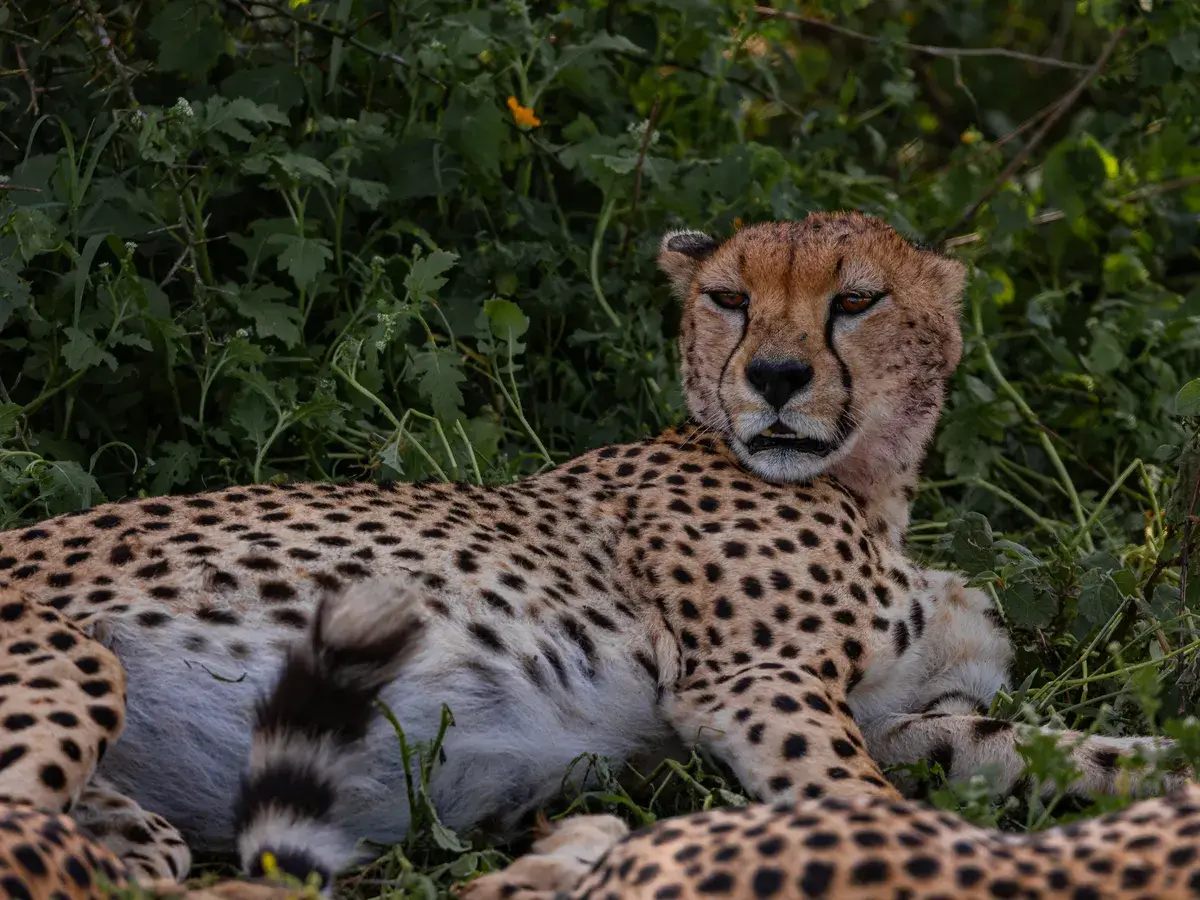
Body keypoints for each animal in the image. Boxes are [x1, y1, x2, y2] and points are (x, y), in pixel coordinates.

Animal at [0, 212, 1186, 897]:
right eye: (729, 300)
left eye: (856, 300)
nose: (778, 378)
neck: (869, 484)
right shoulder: (755, 683)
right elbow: (872, 808)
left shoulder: (905, 717)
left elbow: (1056, 750)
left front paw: (1162, 783)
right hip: (68, 660)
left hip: (139, 810)